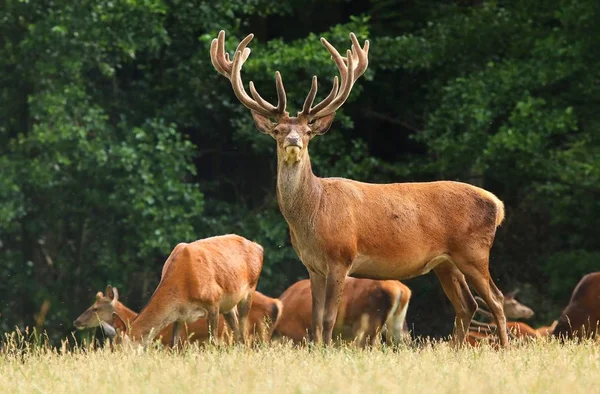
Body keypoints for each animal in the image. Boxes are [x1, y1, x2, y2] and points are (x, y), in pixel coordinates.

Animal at [106, 235, 264, 346]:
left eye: (120, 348)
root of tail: (259, 247)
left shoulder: (213, 301)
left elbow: (213, 342)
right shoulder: (179, 314)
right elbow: (174, 345)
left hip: (250, 290)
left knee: (243, 333)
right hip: (227, 306)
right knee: (238, 333)